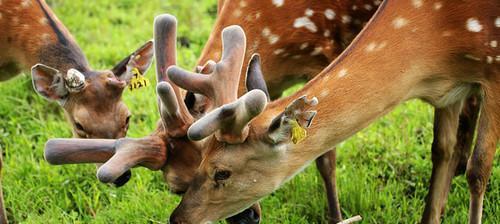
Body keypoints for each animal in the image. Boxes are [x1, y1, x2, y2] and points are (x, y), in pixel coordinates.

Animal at [168, 0, 500, 223]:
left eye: (222, 171)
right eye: (202, 156)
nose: (178, 217)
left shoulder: (492, 71)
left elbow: (478, 170)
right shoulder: (450, 89)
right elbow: (442, 151)